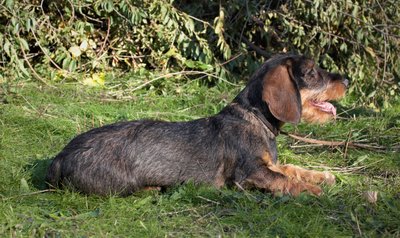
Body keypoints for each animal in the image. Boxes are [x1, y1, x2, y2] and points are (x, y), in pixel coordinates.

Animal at [46, 54, 346, 196]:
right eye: (312, 72)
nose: (346, 80)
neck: (255, 119)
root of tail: (60, 157)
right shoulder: (249, 174)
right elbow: (283, 179)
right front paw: (312, 190)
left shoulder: (267, 164)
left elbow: (292, 169)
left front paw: (322, 176)